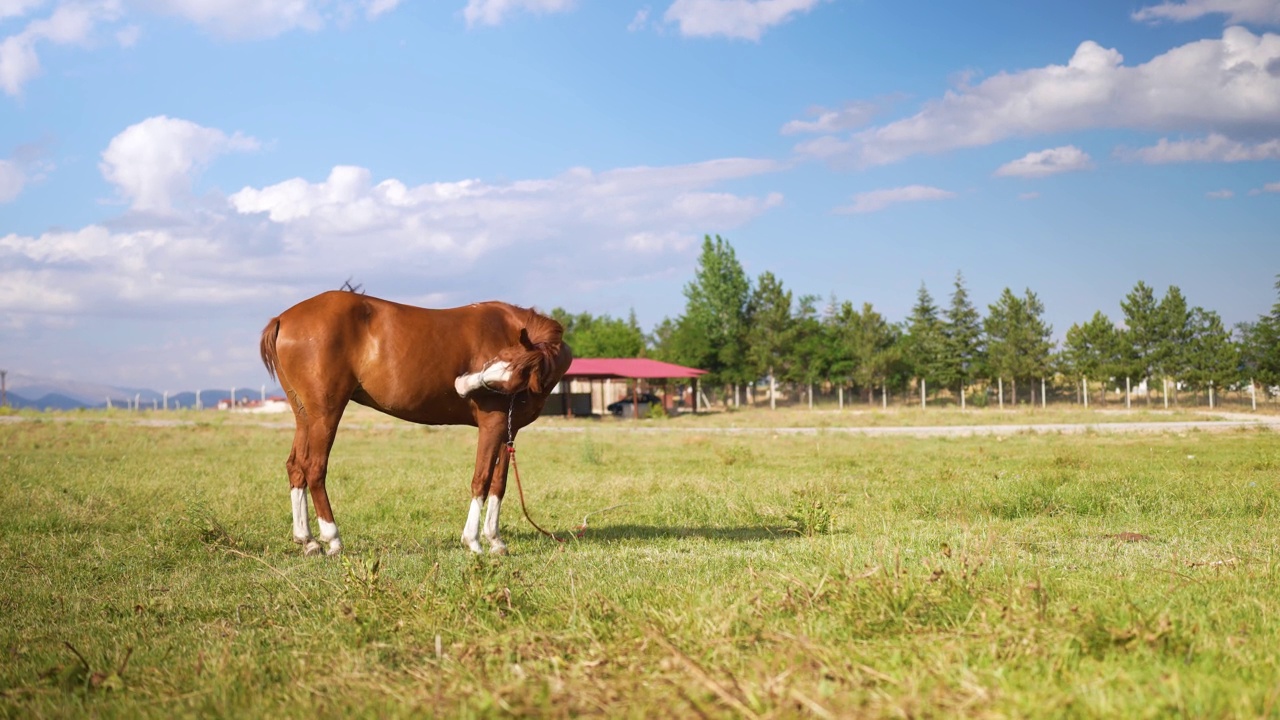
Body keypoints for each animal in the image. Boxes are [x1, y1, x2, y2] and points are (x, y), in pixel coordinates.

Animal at [259, 286, 570, 556]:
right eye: (496, 360)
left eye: (512, 369)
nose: (460, 385)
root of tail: (283, 319)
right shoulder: (492, 425)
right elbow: (481, 479)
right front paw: (473, 542)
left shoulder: (508, 429)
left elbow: (499, 484)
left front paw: (495, 541)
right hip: (326, 414)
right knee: (314, 468)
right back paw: (332, 538)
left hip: (305, 417)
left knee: (296, 466)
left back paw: (307, 540)